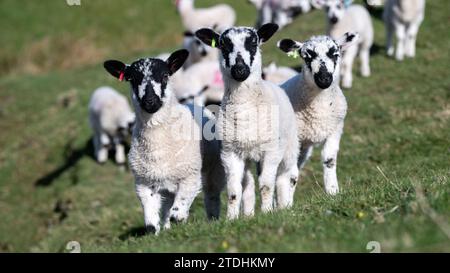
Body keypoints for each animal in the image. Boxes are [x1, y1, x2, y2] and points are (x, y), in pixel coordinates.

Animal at [104, 50, 225, 233]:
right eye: (132, 79)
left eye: (165, 75)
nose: (150, 101)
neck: (158, 146)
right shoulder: (143, 183)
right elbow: (151, 225)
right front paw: (161, 232)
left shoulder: (190, 176)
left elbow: (177, 213)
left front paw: (181, 221)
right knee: (167, 205)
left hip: (213, 168)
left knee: (212, 194)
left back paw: (213, 220)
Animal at [196, 22, 298, 219]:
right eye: (224, 45)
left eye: (253, 43)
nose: (240, 70)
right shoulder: (230, 153)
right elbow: (234, 190)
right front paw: (231, 219)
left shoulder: (271, 150)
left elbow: (266, 185)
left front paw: (267, 212)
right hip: (248, 156)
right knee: (248, 186)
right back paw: (249, 215)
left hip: (288, 146)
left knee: (284, 176)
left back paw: (284, 207)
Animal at [278, 31, 358, 193]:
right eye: (306, 56)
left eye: (335, 54)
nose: (324, 79)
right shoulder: (294, 138)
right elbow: (292, 175)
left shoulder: (335, 130)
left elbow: (329, 160)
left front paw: (333, 192)